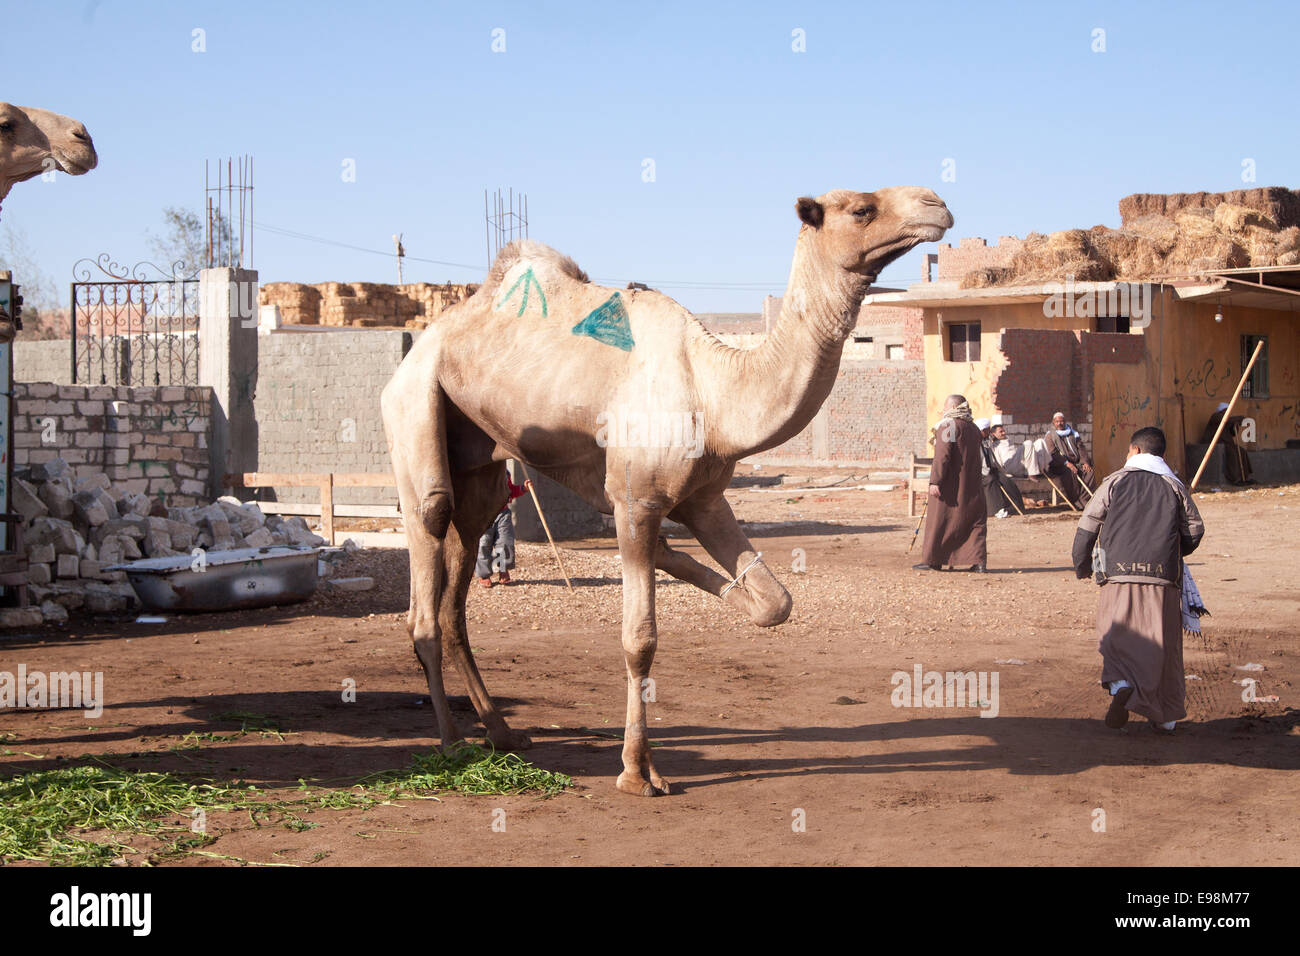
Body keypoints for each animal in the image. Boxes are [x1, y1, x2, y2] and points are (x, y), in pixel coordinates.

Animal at [379, 183, 951, 796]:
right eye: (862, 209)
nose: (936, 204)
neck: (716, 393)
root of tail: (419, 348)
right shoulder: (638, 501)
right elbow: (640, 638)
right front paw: (638, 772)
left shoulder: (705, 499)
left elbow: (775, 604)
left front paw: (694, 568)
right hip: (414, 408)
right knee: (427, 558)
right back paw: (451, 745)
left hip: (479, 467)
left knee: (456, 591)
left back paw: (503, 733)